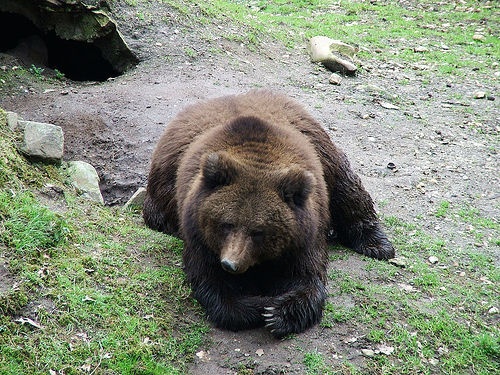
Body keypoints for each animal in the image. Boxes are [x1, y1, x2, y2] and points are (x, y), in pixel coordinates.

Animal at [145, 89, 394, 340]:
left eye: (258, 231)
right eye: (226, 224)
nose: (230, 264)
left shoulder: (304, 232)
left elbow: (305, 277)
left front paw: (278, 313)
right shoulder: (198, 231)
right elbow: (214, 284)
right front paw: (258, 305)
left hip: (324, 152)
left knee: (347, 189)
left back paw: (377, 245)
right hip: (162, 192)